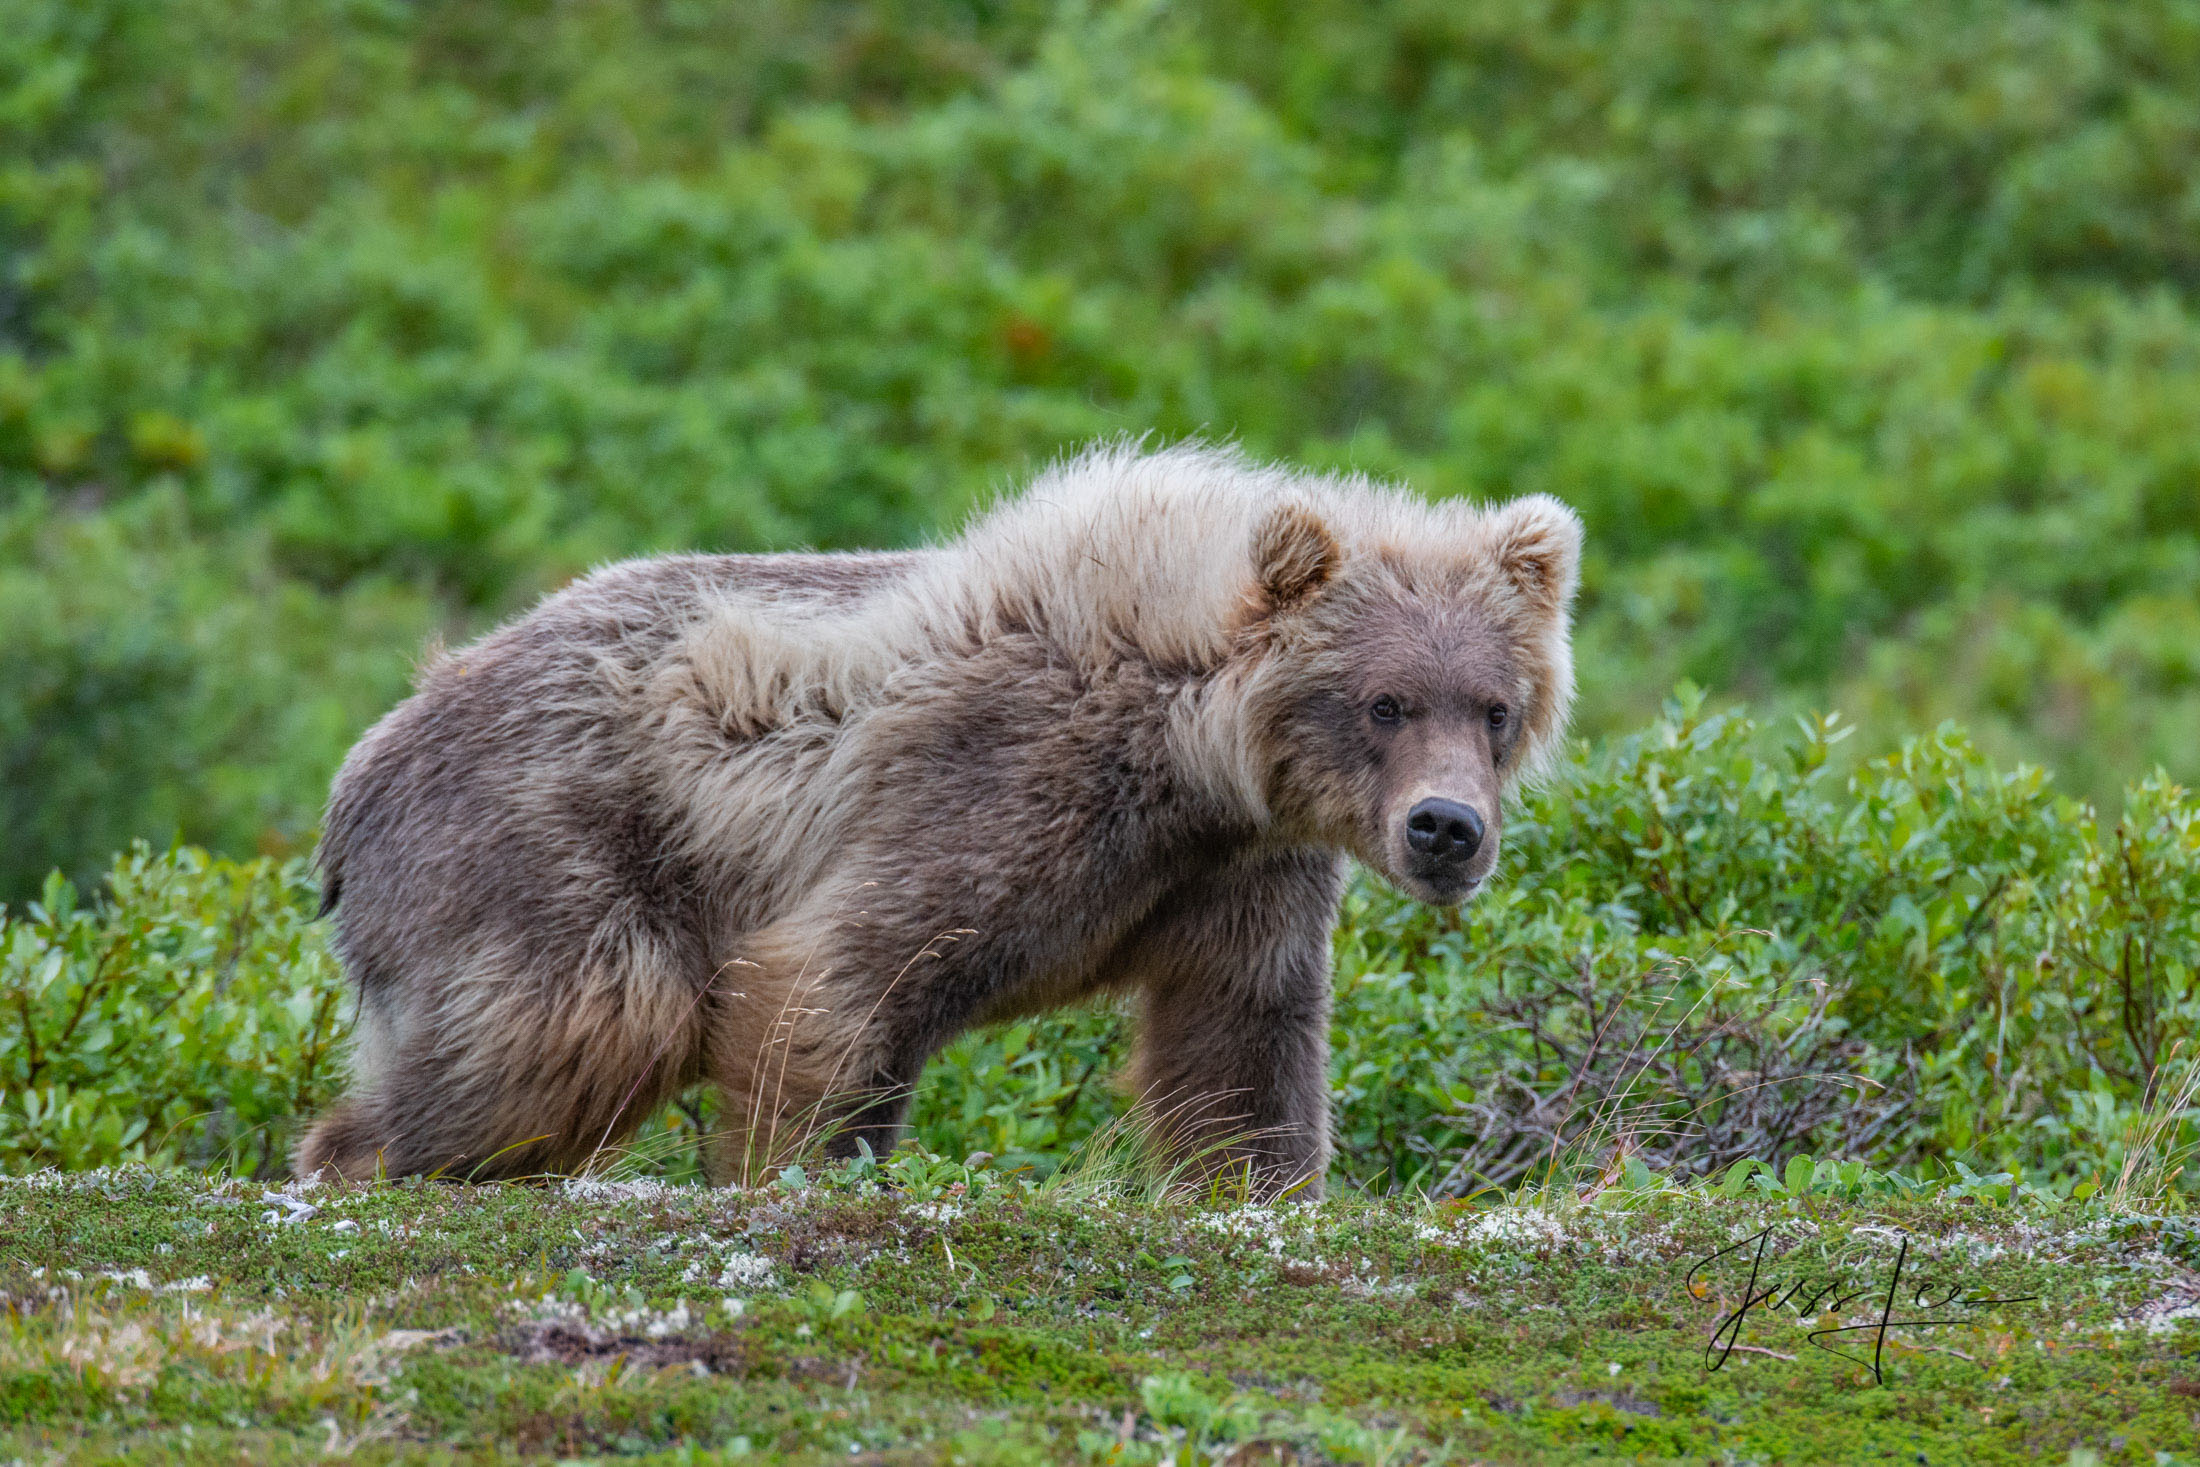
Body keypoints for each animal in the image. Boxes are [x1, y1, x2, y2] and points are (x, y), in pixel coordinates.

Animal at [297, 442, 1584, 1196]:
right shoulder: (1005, 791)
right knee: (565, 1030)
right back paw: (371, 1157)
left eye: (1494, 707)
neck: (1194, 760)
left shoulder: (1238, 875)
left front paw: (1256, 1188)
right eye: (1383, 702)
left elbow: (1242, 1048)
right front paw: (788, 1173)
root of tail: (362, 764)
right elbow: (836, 976)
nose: (1444, 829)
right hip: (551, 846)